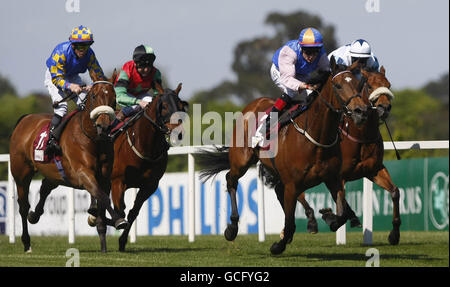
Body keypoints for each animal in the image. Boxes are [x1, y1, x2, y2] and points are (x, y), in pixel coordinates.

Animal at [9, 71, 128, 253]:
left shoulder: (105, 178)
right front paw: (118, 220)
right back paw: (27, 242)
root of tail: (24, 119)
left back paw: (34, 215)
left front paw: (103, 243)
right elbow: (102, 197)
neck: (93, 139)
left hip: (54, 174)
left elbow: (101, 202)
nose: (104, 126)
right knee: (23, 206)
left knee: (44, 189)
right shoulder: (83, 174)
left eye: (114, 97)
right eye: (94, 96)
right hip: (21, 174)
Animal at [197, 59, 370, 254]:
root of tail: (252, 105)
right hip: (241, 161)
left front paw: (329, 216)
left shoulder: (332, 179)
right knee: (230, 180)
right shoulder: (293, 184)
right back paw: (232, 228)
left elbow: (343, 214)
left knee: (277, 190)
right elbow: (289, 220)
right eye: (338, 85)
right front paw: (278, 244)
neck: (315, 137)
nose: (361, 111)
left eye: (357, 84)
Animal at [296, 67, 400, 245]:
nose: (385, 107)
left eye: (388, 85)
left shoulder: (374, 169)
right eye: (370, 86)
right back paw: (312, 222)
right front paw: (330, 216)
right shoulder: (340, 176)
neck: (361, 134)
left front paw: (394, 234)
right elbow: (342, 206)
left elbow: (395, 192)